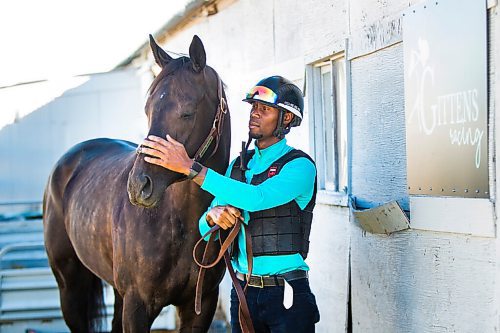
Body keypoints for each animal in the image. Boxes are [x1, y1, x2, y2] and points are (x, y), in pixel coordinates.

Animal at [43, 35, 230, 332]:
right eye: (148, 110)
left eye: (187, 113)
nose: (139, 186)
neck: (179, 221)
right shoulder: (137, 306)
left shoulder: (200, 306)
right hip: (70, 287)